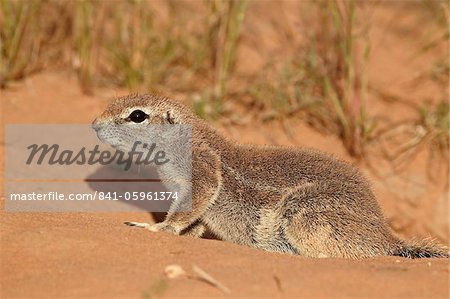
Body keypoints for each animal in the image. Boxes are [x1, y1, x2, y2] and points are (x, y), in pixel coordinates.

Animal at [93, 94, 448, 260]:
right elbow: (194, 222)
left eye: (137, 115)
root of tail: (387, 237)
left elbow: (187, 210)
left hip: (305, 213)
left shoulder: (203, 169)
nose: (94, 124)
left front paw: (155, 228)